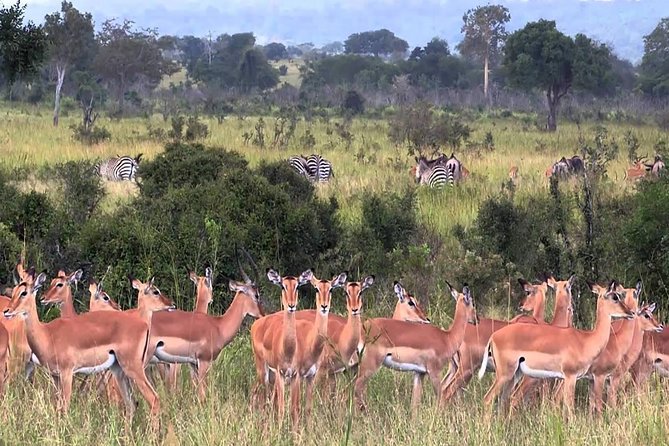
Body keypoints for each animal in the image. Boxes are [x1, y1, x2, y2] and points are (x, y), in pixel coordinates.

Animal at [4, 269, 174, 424]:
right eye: (15, 291)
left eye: (24, 292)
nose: (7, 311)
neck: (47, 334)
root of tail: (144, 324)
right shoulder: (55, 376)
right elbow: (58, 408)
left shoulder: (67, 374)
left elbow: (65, 408)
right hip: (118, 370)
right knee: (131, 404)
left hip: (133, 368)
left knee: (153, 399)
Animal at [148, 269, 265, 400]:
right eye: (256, 295)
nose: (263, 314)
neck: (218, 326)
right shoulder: (204, 361)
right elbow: (202, 394)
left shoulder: (193, 364)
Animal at [250, 268, 312, 426]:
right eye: (283, 286)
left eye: (297, 285)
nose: (291, 305)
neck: (288, 350)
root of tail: (257, 323)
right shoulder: (280, 373)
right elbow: (282, 408)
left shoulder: (295, 375)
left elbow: (294, 408)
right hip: (263, 370)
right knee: (260, 395)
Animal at [354, 283, 477, 412]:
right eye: (472, 303)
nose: (476, 319)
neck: (447, 337)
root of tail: (363, 328)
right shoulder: (434, 372)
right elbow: (441, 398)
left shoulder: (419, 373)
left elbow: (414, 403)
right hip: (370, 366)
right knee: (357, 389)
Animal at [479, 280, 635, 416]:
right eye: (615, 297)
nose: (631, 313)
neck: (585, 340)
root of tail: (494, 337)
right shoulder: (571, 376)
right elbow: (570, 407)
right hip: (504, 375)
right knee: (487, 399)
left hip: (515, 374)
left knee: (502, 401)